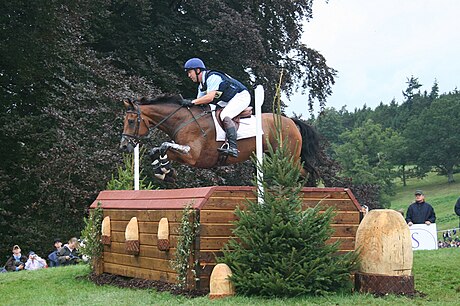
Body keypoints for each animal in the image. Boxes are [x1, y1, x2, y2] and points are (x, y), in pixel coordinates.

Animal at [119, 94, 320, 183]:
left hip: (288, 156)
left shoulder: (193, 156)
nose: (124, 146)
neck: (182, 121)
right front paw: (164, 171)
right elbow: (158, 150)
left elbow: (164, 146)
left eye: (131, 121)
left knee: (306, 173)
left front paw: (165, 170)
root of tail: (290, 121)